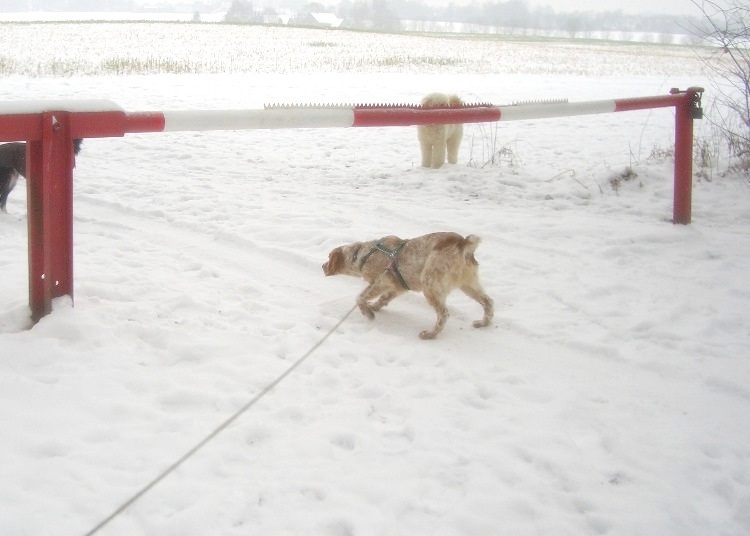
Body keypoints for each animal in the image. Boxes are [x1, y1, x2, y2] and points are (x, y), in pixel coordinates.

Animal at [322, 231, 494, 340]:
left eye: (328, 257)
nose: (322, 266)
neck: (363, 254)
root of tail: (463, 243)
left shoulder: (383, 281)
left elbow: (359, 297)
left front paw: (368, 313)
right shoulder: (397, 287)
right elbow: (382, 299)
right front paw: (374, 307)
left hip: (430, 284)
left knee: (443, 314)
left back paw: (430, 334)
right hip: (469, 285)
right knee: (488, 302)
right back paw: (483, 323)